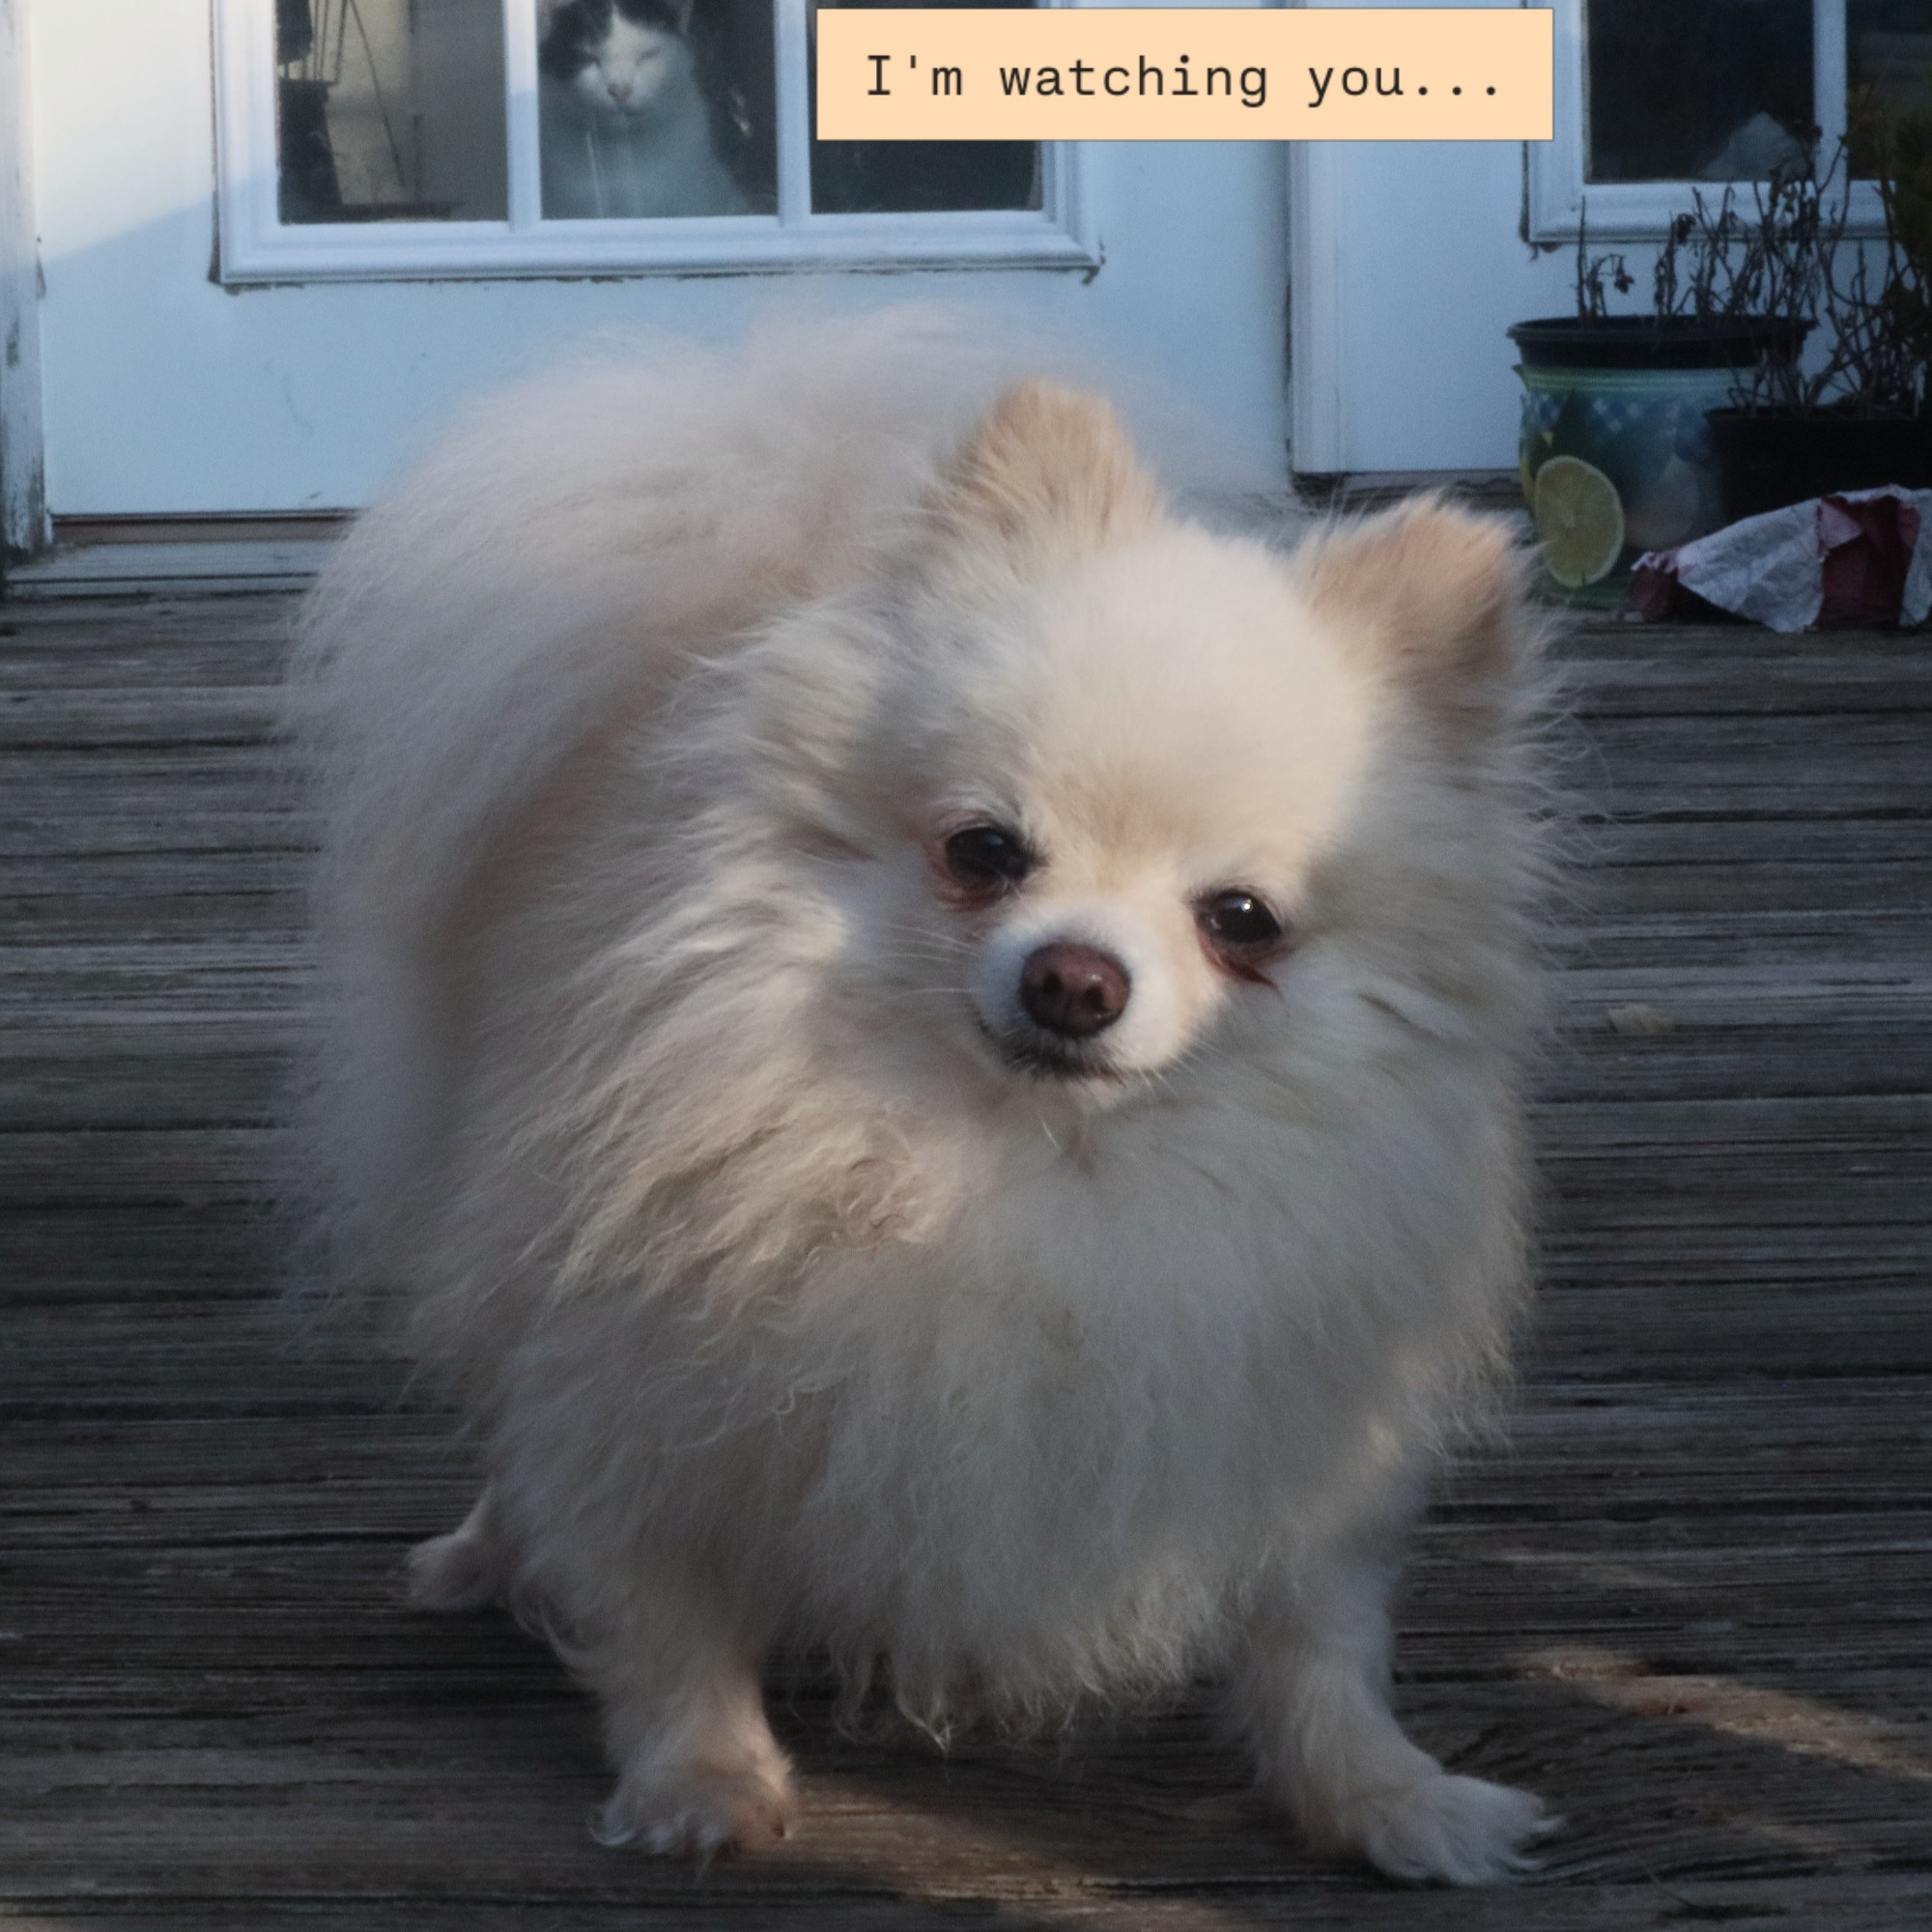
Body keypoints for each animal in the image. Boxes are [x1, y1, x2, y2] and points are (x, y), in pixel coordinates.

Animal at [305, 309, 1569, 1878]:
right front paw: (700, 1778)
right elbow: (657, 1602)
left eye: (1242, 920)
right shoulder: (634, 1379)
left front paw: (1387, 1796)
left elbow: (1319, 1635)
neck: (1021, 1172)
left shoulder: (1285, 1413)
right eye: (984, 851)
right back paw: (486, 1551)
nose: (1076, 979)